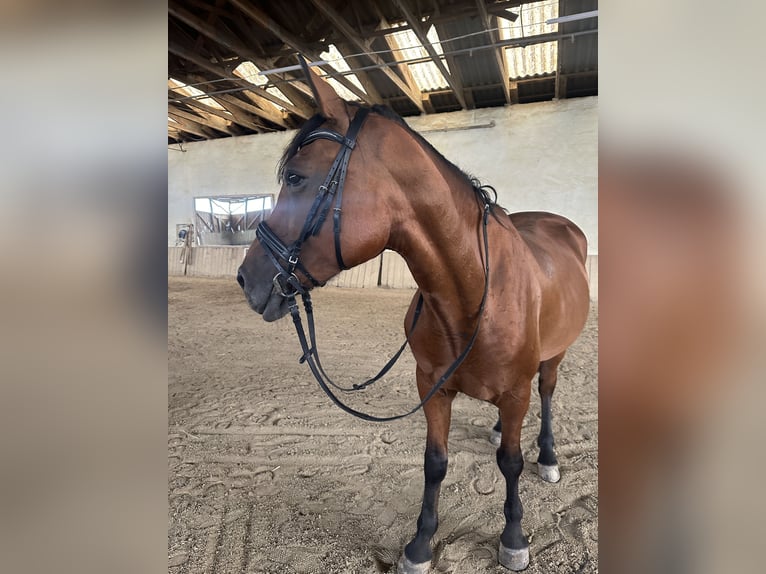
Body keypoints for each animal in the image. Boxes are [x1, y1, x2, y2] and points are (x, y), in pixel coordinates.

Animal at [237, 60, 592, 572]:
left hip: (552, 359)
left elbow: (510, 463)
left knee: (545, 395)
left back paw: (547, 456)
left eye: (297, 179)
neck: (473, 294)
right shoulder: (433, 385)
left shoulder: (514, 390)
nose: (246, 279)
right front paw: (421, 544)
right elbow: (435, 461)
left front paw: (513, 537)